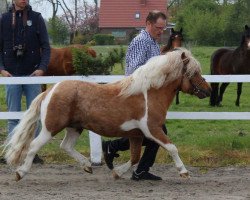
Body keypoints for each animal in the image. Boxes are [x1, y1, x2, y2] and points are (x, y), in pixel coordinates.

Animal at [3, 48, 211, 181]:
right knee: (33, 146)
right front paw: (184, 172)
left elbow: (135, 157)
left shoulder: (136, 134)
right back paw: (20, 173)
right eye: (194, 72)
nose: (208, 90)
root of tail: (50, 90)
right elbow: (172, 148)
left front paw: (117, 172)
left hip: (75, 127)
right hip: (50, 128)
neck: (149, 93)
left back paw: (87, 165)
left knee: (66, 146)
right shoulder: (152, 129)